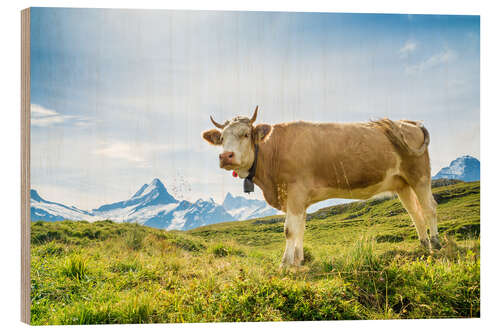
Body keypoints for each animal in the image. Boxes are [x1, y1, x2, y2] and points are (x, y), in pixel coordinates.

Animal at [201, 106, 440, 268]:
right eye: (221, 138)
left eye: (245, 134)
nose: (225, 156)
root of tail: (410, 122)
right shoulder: (298, 199)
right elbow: (300, 228)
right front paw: (298, 260)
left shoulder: (296, 191)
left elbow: (289, 230)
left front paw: (285, 264)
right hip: (402, 183)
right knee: (414, 213)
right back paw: (423, 245)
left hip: (419, 175)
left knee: (429, 208)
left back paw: (436, 244)